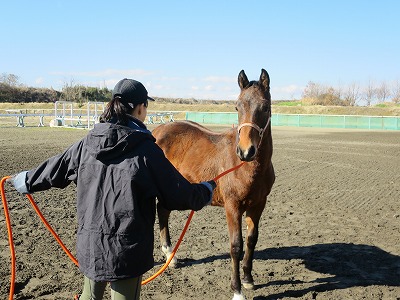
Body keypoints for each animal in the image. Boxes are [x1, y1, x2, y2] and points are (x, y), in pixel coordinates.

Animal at [153, 69, 276, 298]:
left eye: (265, 107)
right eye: (237, 106)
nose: (246, 151)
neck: (245, 168)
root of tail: (157, 131)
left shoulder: (258, 205)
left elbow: (251, 240)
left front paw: (248, 279)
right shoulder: (232, 206)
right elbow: (236, 246)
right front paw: (237, 290)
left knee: (163, 210)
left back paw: (170, 256)